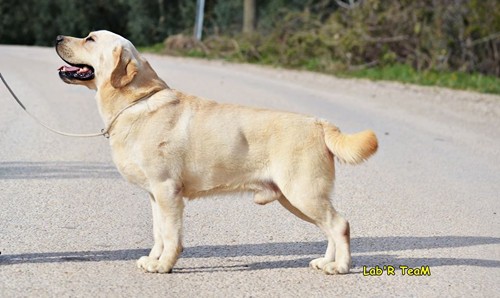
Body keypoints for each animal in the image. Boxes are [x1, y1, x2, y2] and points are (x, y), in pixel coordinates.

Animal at [55, 30, 376, 274]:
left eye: (90, 39)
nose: (57, 37)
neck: (136, 103)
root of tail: (319, 123)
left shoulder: (167, 191)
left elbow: (171, 236)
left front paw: (164, 265)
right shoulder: (155, 195)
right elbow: (159, 233)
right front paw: (154, 259)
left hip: (303, 193)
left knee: (340, 224)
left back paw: (340, 267)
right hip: (297, 199)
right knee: (330, 227)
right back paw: (326, 262)